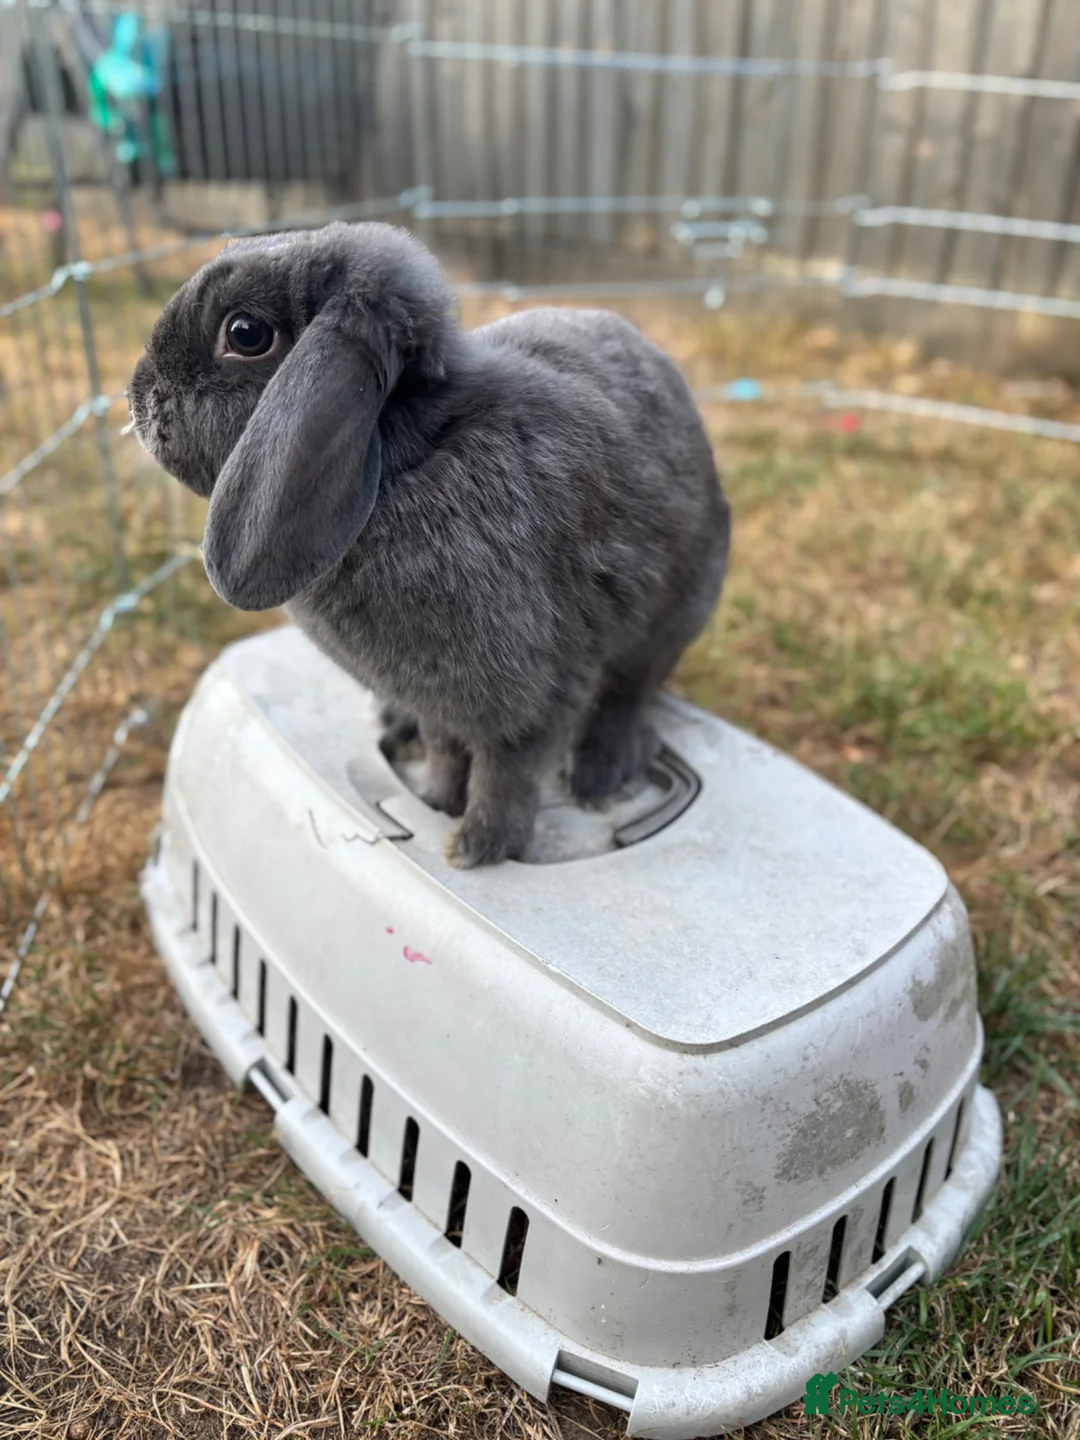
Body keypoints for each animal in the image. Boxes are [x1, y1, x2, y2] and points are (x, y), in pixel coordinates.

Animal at [129, 221, 730, 868]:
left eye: (245, 334)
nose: (138, 394)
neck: (412, 451)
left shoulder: (534, 697)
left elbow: (507, 775)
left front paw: (477, 848)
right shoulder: (438, 701)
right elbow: (447, 750)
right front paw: (436, 799)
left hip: (668, 618)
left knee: (629, 693)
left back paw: (595, 776)